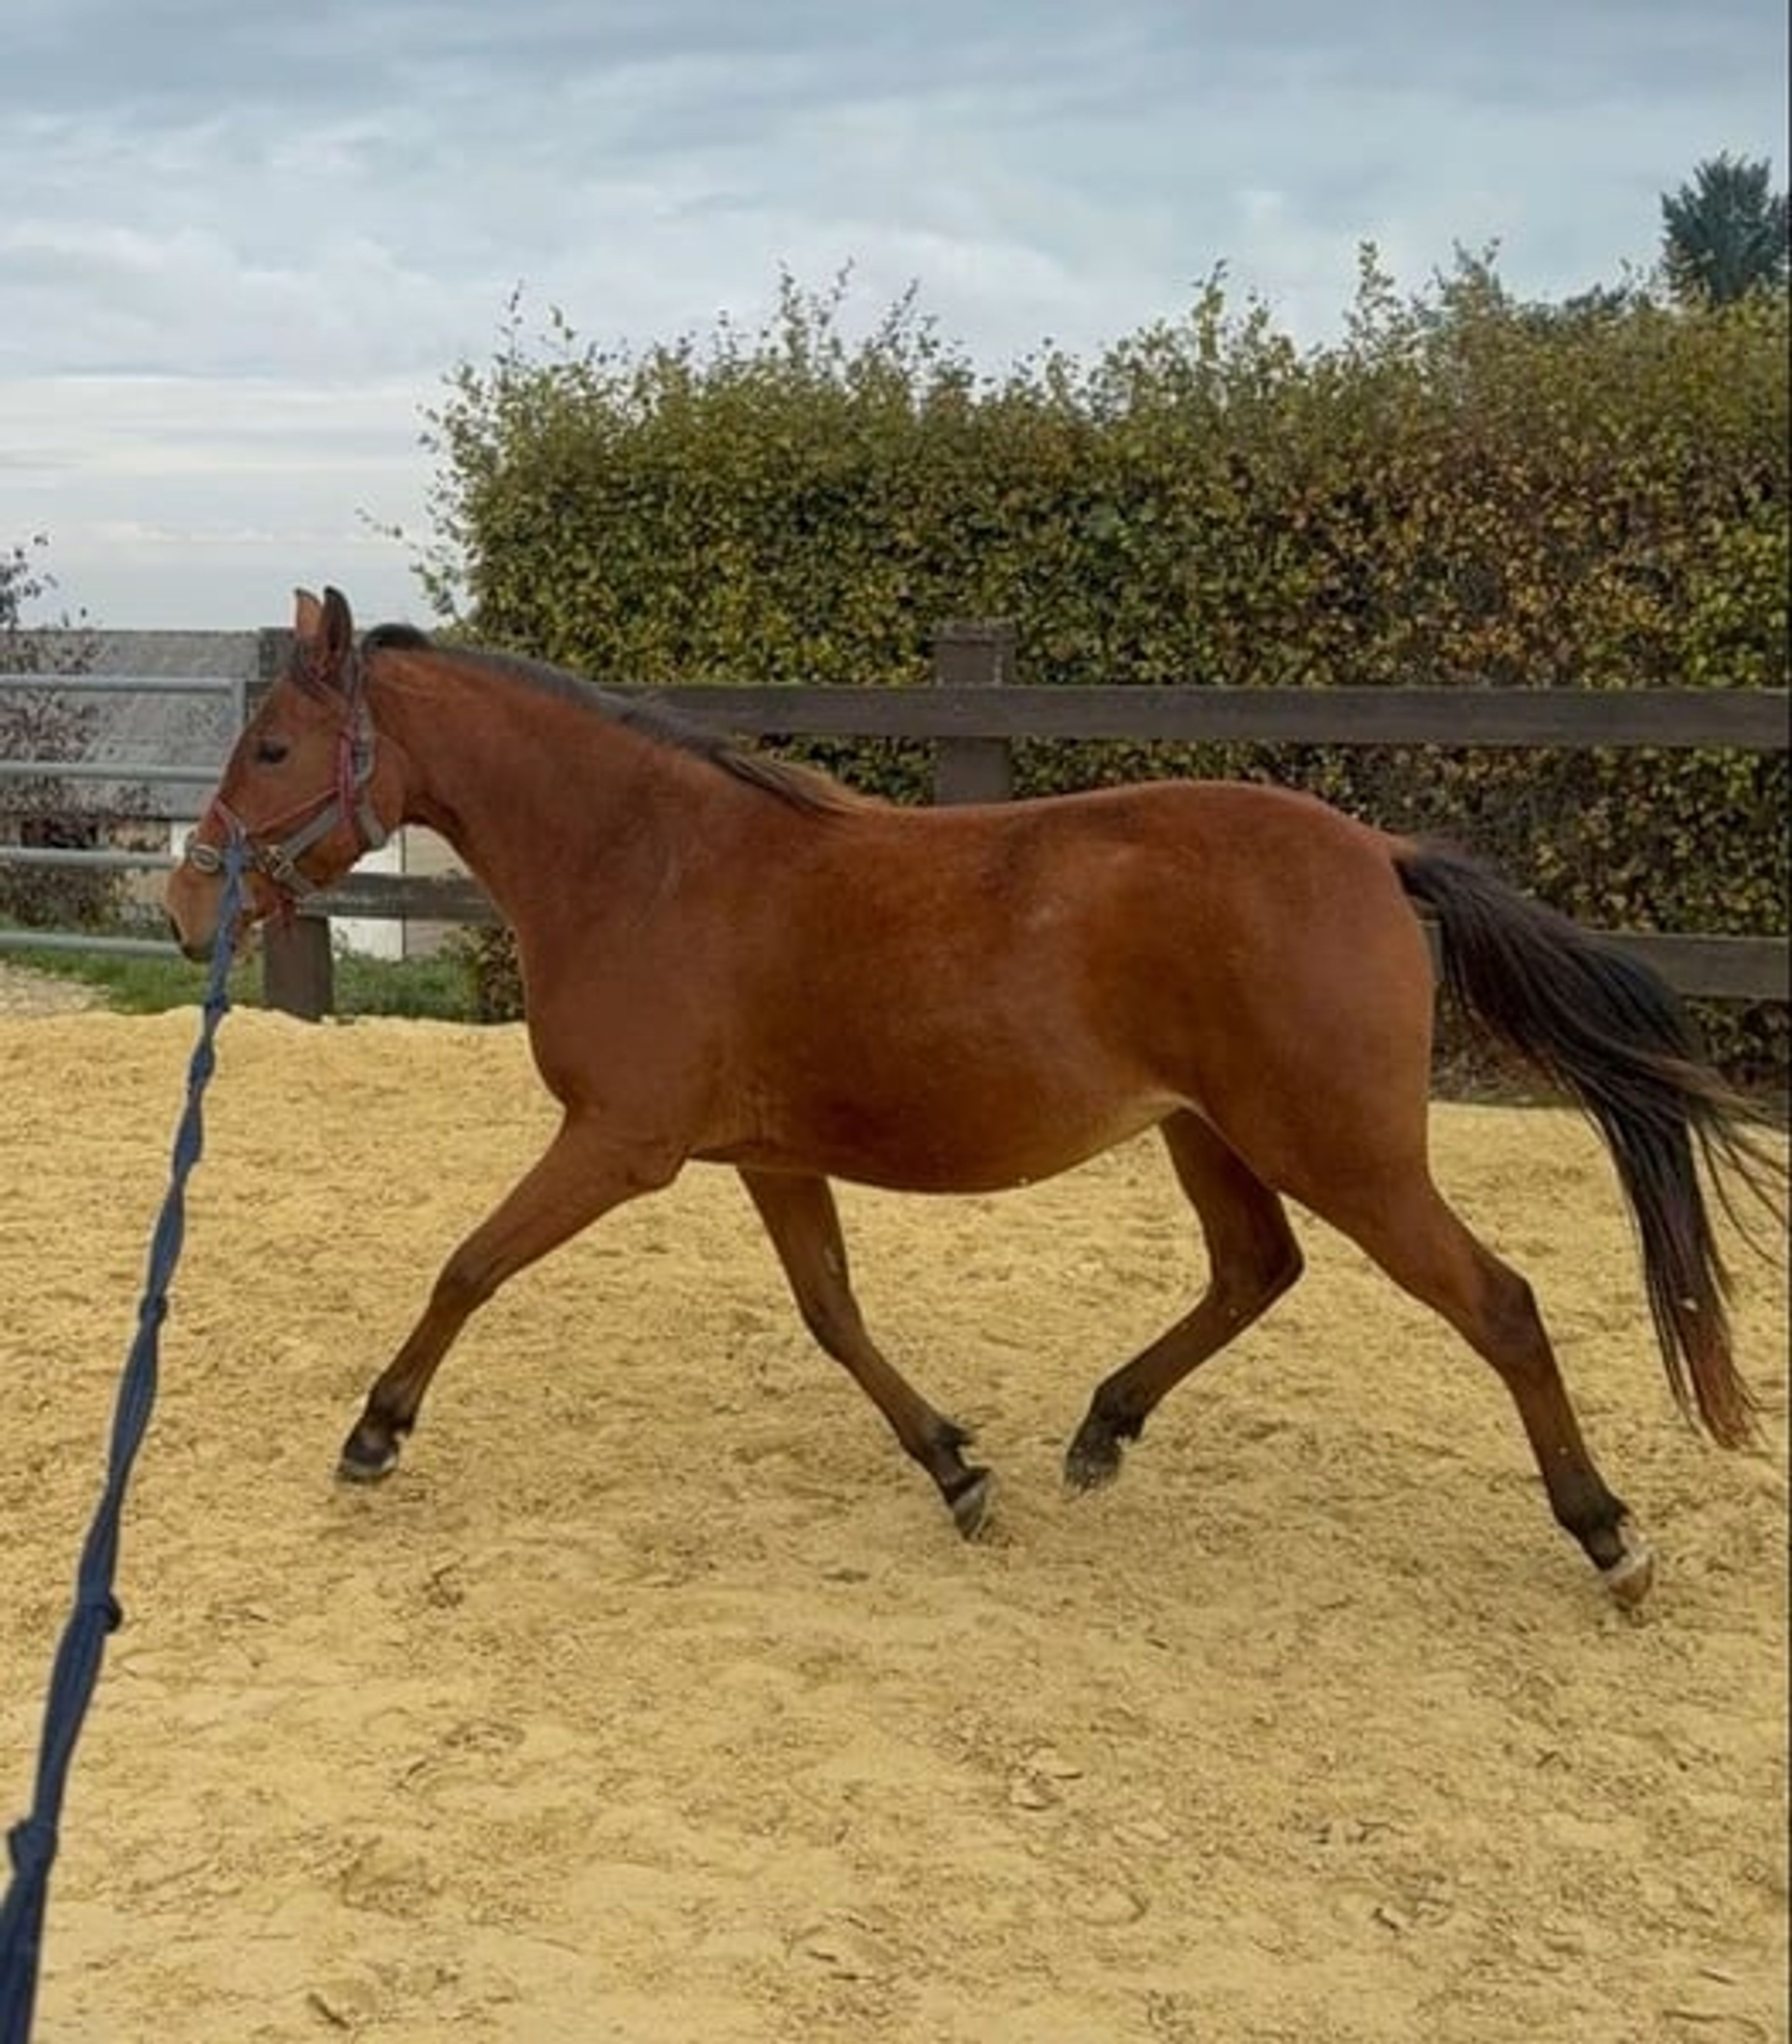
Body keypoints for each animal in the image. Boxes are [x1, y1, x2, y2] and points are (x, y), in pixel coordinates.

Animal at [166, 588, 1784, 1608]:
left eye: (271, 745)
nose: (188, 907)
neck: (647, 865)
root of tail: (1382, 856)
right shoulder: (762, 1155)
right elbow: (832, 1312)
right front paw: (956, 1468)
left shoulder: (621, 1144)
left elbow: (469, 1263)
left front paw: (373, 1434)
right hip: (1214, 1136)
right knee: (1254, 1269)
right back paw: (1102, 1430)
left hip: (1347, 1151)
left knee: (1496, 1302)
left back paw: (1608, 1539)